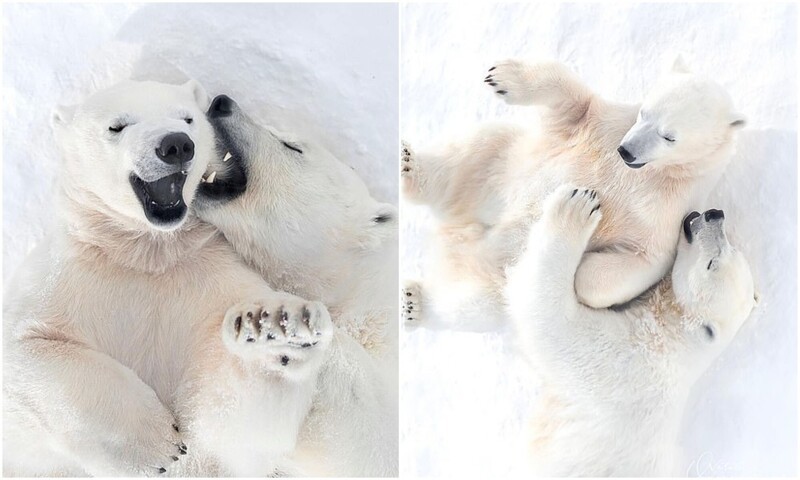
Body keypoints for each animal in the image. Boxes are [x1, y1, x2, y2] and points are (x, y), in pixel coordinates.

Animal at [404, 60, 748, 322]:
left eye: (670, 136)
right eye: (645, 113)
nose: (625, 151)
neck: (654, 174)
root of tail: (455, 234)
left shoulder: (668, 210)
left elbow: (642, 259)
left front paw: (578, 265)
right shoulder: (605, 125)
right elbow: (575, 101)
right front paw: (502, 77)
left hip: (494, 280)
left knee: (471, 303)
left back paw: (415, 301)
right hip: (502, 169)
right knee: (472, 152)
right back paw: (408, 166)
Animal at [506, 185, 756, 476]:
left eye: (712, 263)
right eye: (730, 249)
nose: (715, 214)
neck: (671, 339)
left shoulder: (618, 363)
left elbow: (549, 316)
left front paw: (575, 207)